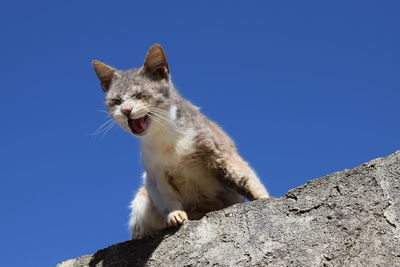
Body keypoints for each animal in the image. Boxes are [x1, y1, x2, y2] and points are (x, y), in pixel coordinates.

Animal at [92, 44, 268, 241]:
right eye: (116, 101)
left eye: (140, 95)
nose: (126, 110)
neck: (165, 136)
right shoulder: (155, 175)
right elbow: (166, 195)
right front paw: (174, 214)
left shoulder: (220, 152)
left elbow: (244, 176)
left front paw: (263, 197)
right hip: (141, 199)